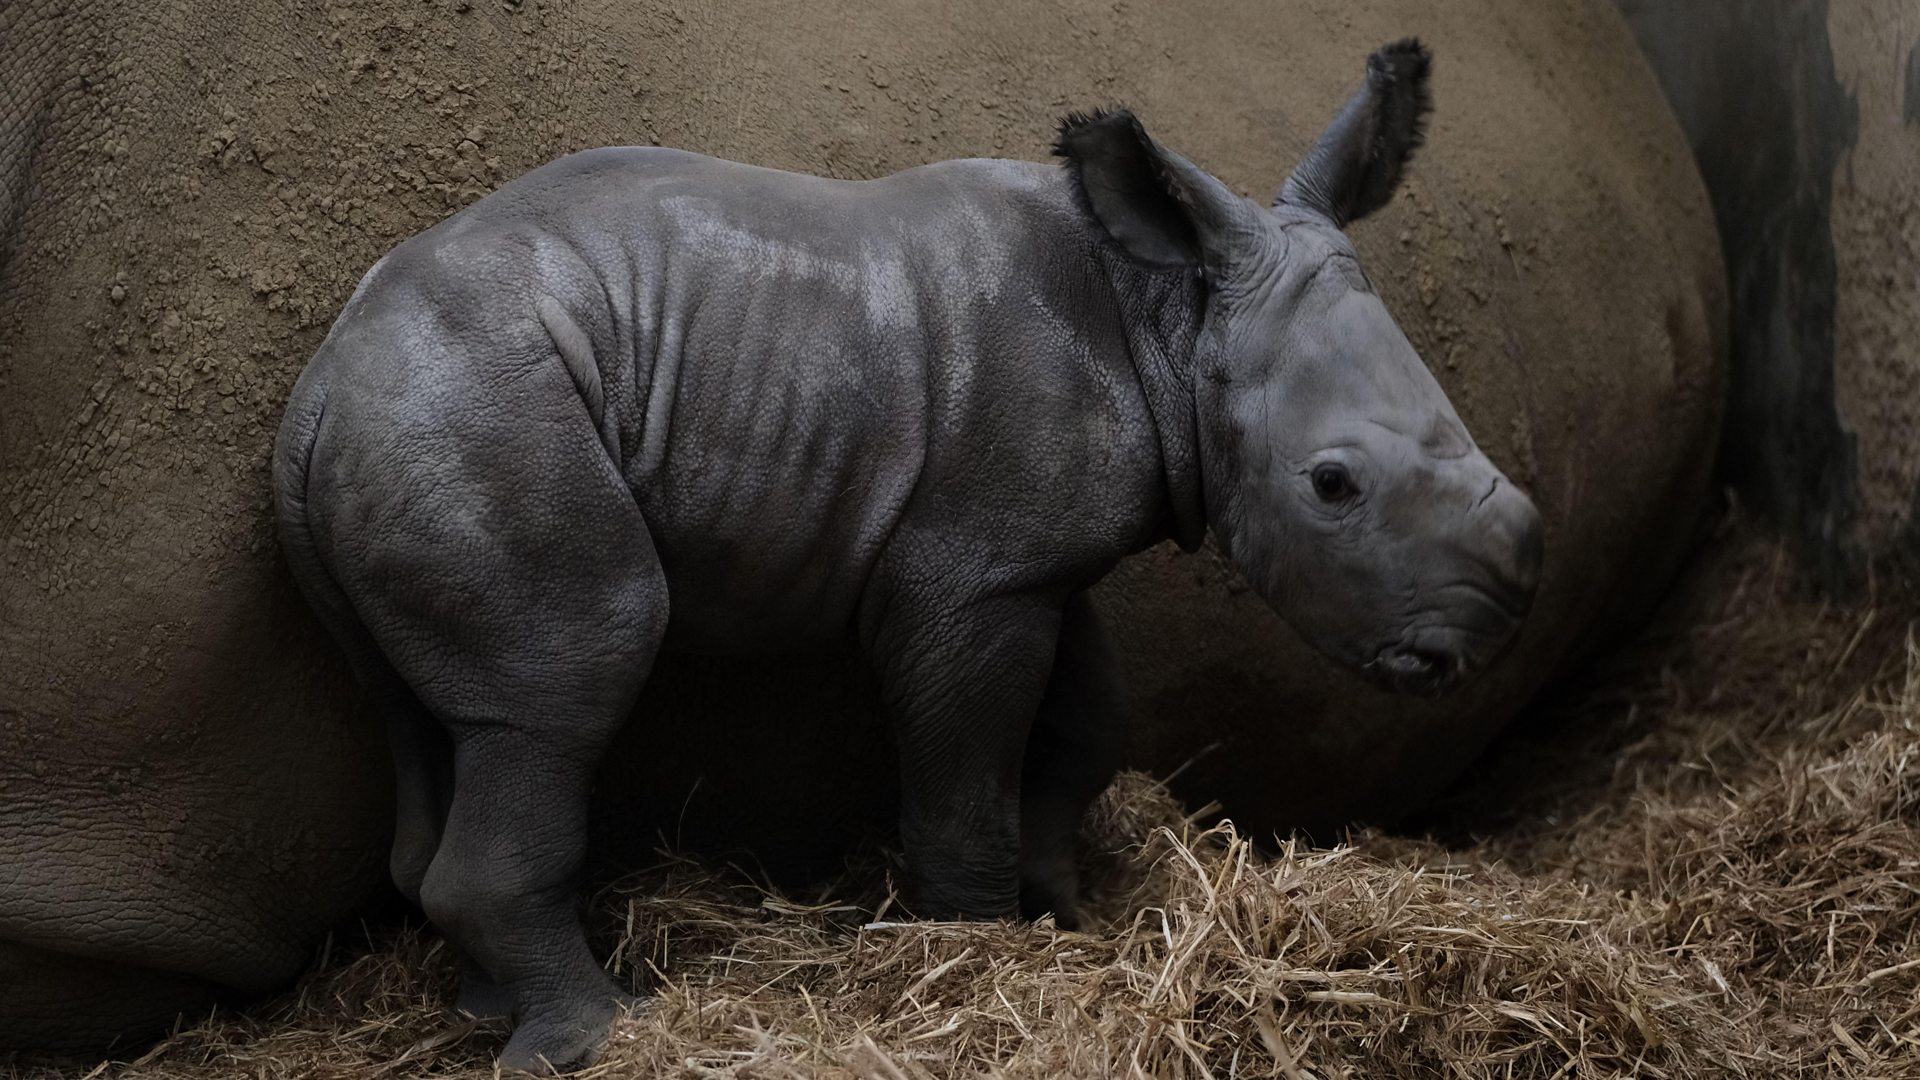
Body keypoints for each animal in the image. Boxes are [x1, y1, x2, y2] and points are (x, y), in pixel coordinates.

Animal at [272, 39, 1541, 1071]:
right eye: (1334, 486)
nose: (1489, 632)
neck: (1171, 316)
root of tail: (315, 398)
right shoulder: (966, 579)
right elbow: (966, 775)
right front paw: (979, 954)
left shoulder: (1027, 559)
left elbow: (1085, 725)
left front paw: (1063, 914)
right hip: (480, 413)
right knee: (567, 680)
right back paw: (605, 1036)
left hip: (422, 426)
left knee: (445, 718)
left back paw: (491, 1014)